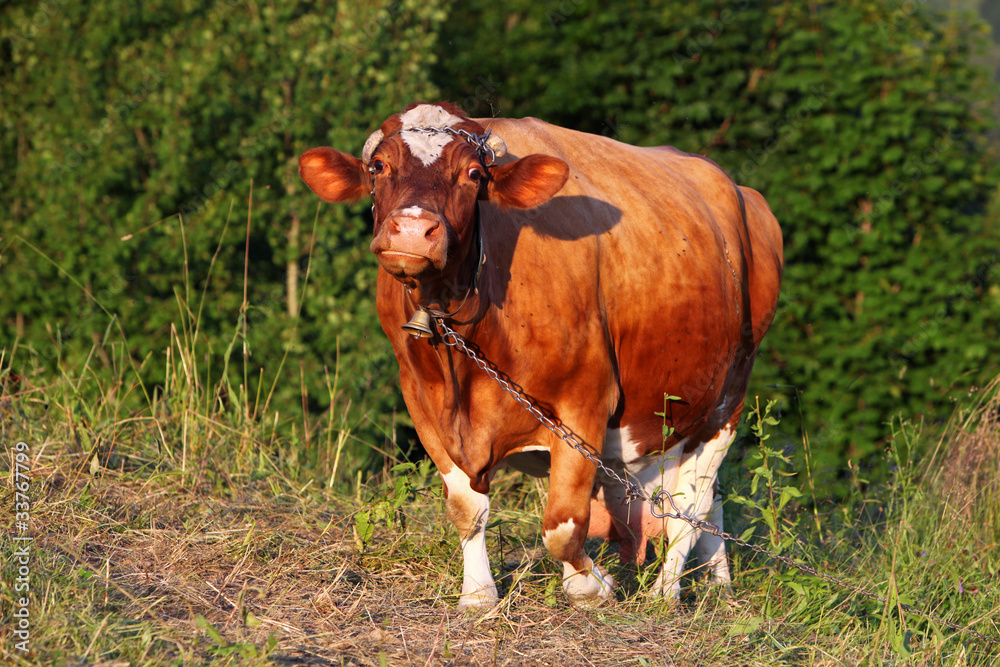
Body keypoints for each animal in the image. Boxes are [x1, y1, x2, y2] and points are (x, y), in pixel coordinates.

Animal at [299, 102, 783, 609]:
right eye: (378, 167)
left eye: (473, 174)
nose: (413, 230)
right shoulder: (423, 402)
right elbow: (467, 508)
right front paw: (478, 596)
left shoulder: (584, 401)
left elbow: (562, 526)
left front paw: (594, 586)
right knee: (708, 505)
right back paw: (720, 584)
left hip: (725, 401)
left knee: (689, 507)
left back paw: (665, 594)